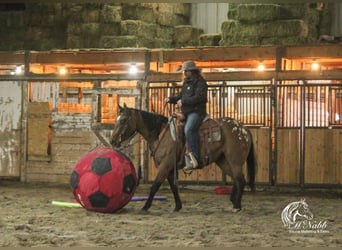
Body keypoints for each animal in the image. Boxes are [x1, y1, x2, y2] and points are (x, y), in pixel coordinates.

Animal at [110, 103, 256, 213]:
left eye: (123, 120)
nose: (112, 141)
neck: (161, 134)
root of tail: (244, 129)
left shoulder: (165, 166)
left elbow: (155, 185)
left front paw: (145, 207)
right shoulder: (169, 168)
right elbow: (174, 186)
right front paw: (177, 206)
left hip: (235, 161)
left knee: (240, 180)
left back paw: (237, 206)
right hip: (223, 161)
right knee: (236, 179)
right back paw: (233, 201)